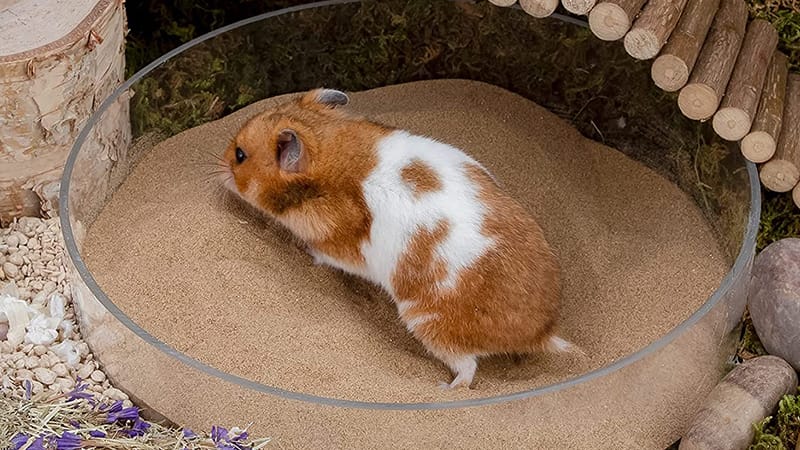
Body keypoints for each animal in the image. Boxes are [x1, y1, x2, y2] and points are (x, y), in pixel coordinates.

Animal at [221, 88, 574, 388]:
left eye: (239, 155)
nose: (219, 167)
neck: (332, 150)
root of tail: (541, 332)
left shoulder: (339, 249)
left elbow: (322, 254)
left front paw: (304, 251)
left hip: (429, 325)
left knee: (468, 369)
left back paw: (446, 388)